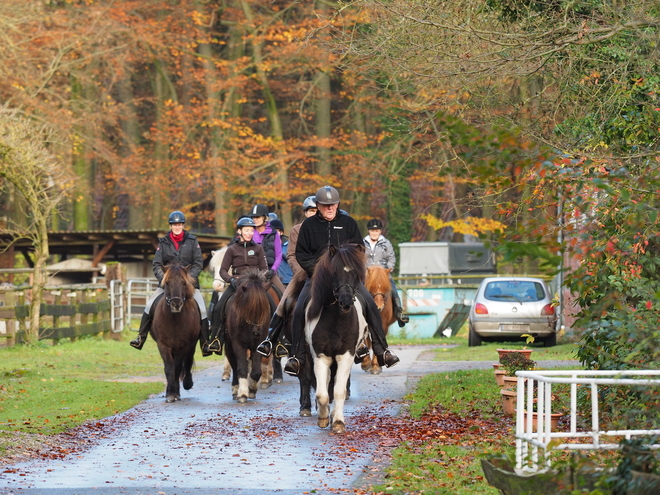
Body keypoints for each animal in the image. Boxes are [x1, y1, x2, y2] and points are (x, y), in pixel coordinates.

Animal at [151, 264, 200, 404]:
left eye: (184, 283)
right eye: (167, 283)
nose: (176, 304)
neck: (174, 319)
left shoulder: (184, 345)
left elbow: (177, 368)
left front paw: (175, 393)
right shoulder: (163, 344)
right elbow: (169, 367)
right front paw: (170, 394)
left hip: (191, 346)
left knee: (187, 362)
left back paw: (186, 384)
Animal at [302, 244, 366, 434]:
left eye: (356, 273)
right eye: (335, 273)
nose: (346, 301)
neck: (336, 319)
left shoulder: (345, 356)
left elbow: (338, 391)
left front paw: (338, 422)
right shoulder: (321, 357)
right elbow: (322, 394)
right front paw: (323, 417)